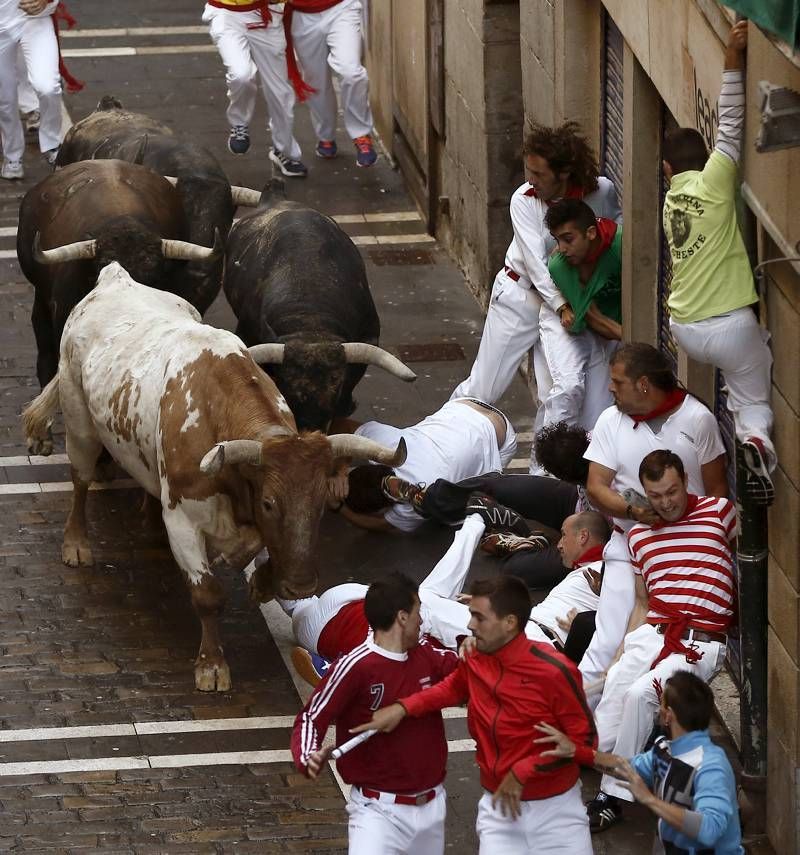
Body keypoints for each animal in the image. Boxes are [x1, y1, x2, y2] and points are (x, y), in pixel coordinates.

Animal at [25, 264, 406, 692]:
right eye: (270, 502)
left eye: (322, 501)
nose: (303, 586)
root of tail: (114, 277)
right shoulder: (183, 521)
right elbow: (208, 595)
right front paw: (211, 664)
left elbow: (258, 547)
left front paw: (261, 579)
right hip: (80, 426)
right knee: (80, 480)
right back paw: (76, 543)